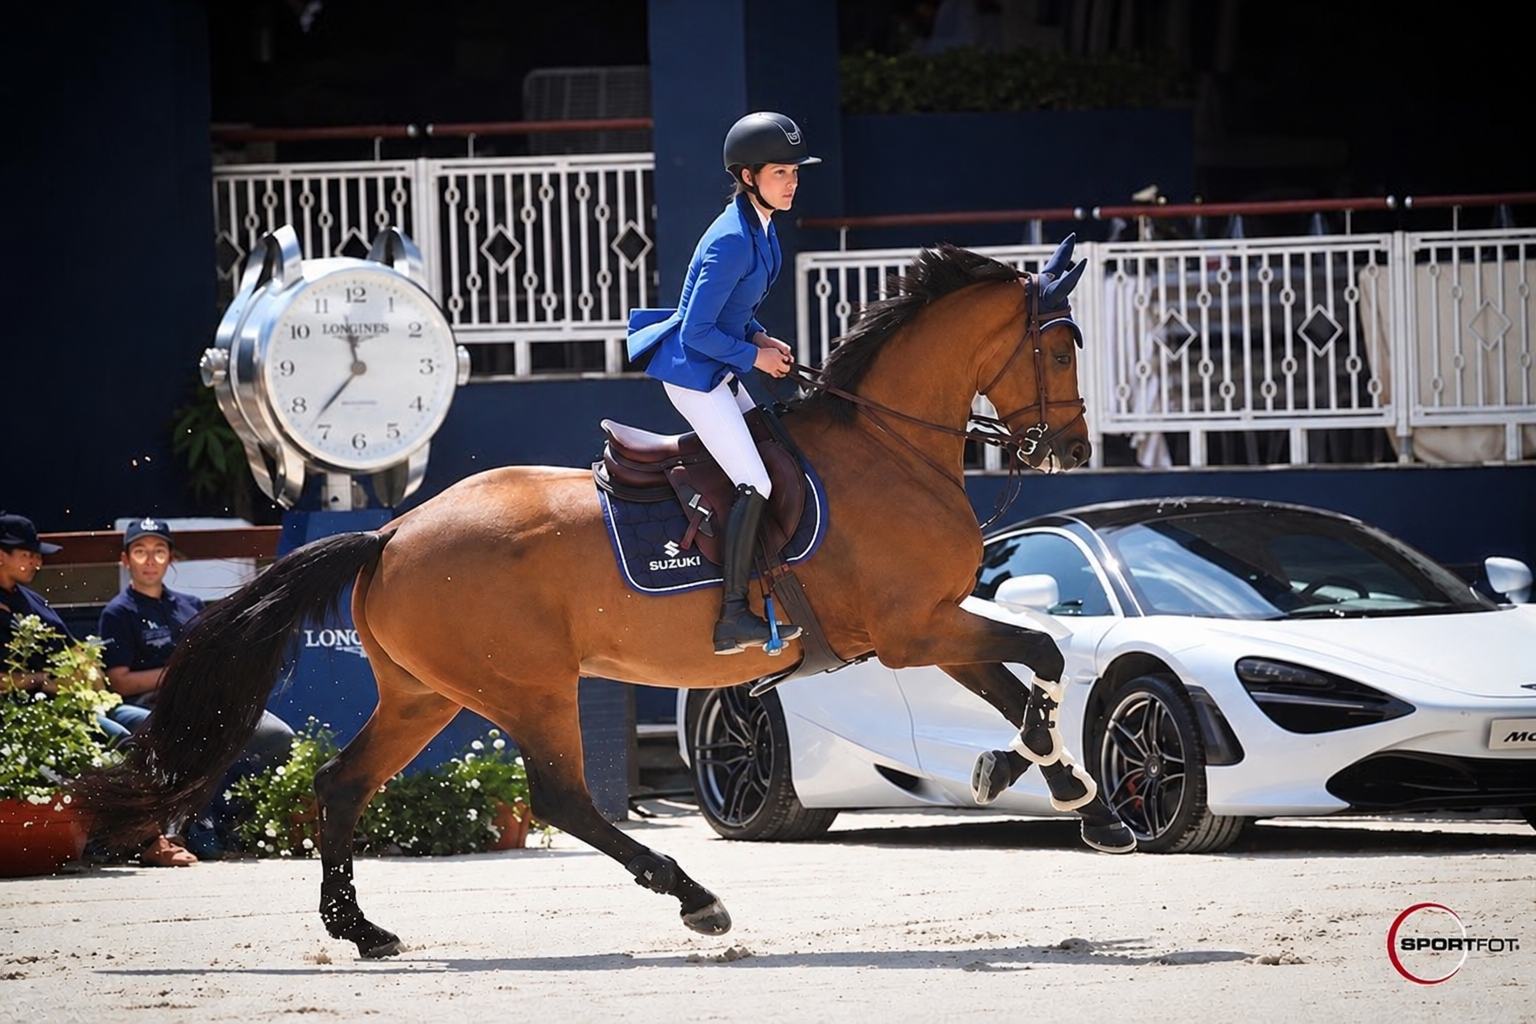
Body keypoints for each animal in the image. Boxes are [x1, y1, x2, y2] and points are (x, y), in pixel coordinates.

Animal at [77, 234, 1135, 960]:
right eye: (1063, 348)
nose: (1074, 449)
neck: (889, 448)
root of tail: (392, 534)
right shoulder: (917, 628)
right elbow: (1038, 659)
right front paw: (1062, 788)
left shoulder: (933, 628)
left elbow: (1027, 677)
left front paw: (1072, 797)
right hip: (527, 687)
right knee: (562, 797)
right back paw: (696, 898)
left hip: (427, 693)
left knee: (342, 784)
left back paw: (364, 931)